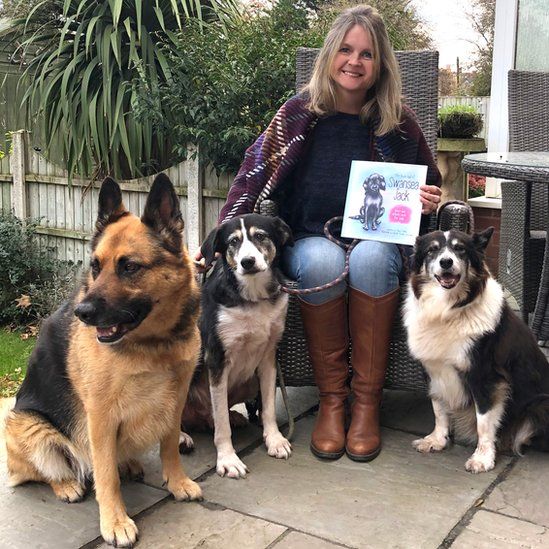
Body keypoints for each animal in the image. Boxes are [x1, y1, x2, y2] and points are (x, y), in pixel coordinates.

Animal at [5, 174, 202, 544]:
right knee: (47, 470)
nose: (82, 313)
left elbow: (169, 444)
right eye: (96, 266)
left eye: (130, 267)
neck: (153, 343)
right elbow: (105, 475)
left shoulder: (176, 400)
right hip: (28, 426)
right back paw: (67, 485)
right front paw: (115, 522)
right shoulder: (100, 416)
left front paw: (177, 482)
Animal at [183, 212, 296, 478]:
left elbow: (268, 407)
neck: (253, 298)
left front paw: (275, 440)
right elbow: (221, 425)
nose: (247, 262)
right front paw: (227, 459)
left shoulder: (269, 357)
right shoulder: (217, 360)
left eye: (260, 236)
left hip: (249, 382)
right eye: (233, 241)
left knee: (212, 416)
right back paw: (182, 437)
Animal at [402, 227, 548, 470]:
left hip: (539, 405)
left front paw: (483, 458)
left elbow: (483, 420)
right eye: (432, 250)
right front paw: (437, 440)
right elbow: (438, 408)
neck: (448, 311)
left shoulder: (485, 376)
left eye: (460, 249)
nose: (446, 262)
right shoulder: (433, 370)